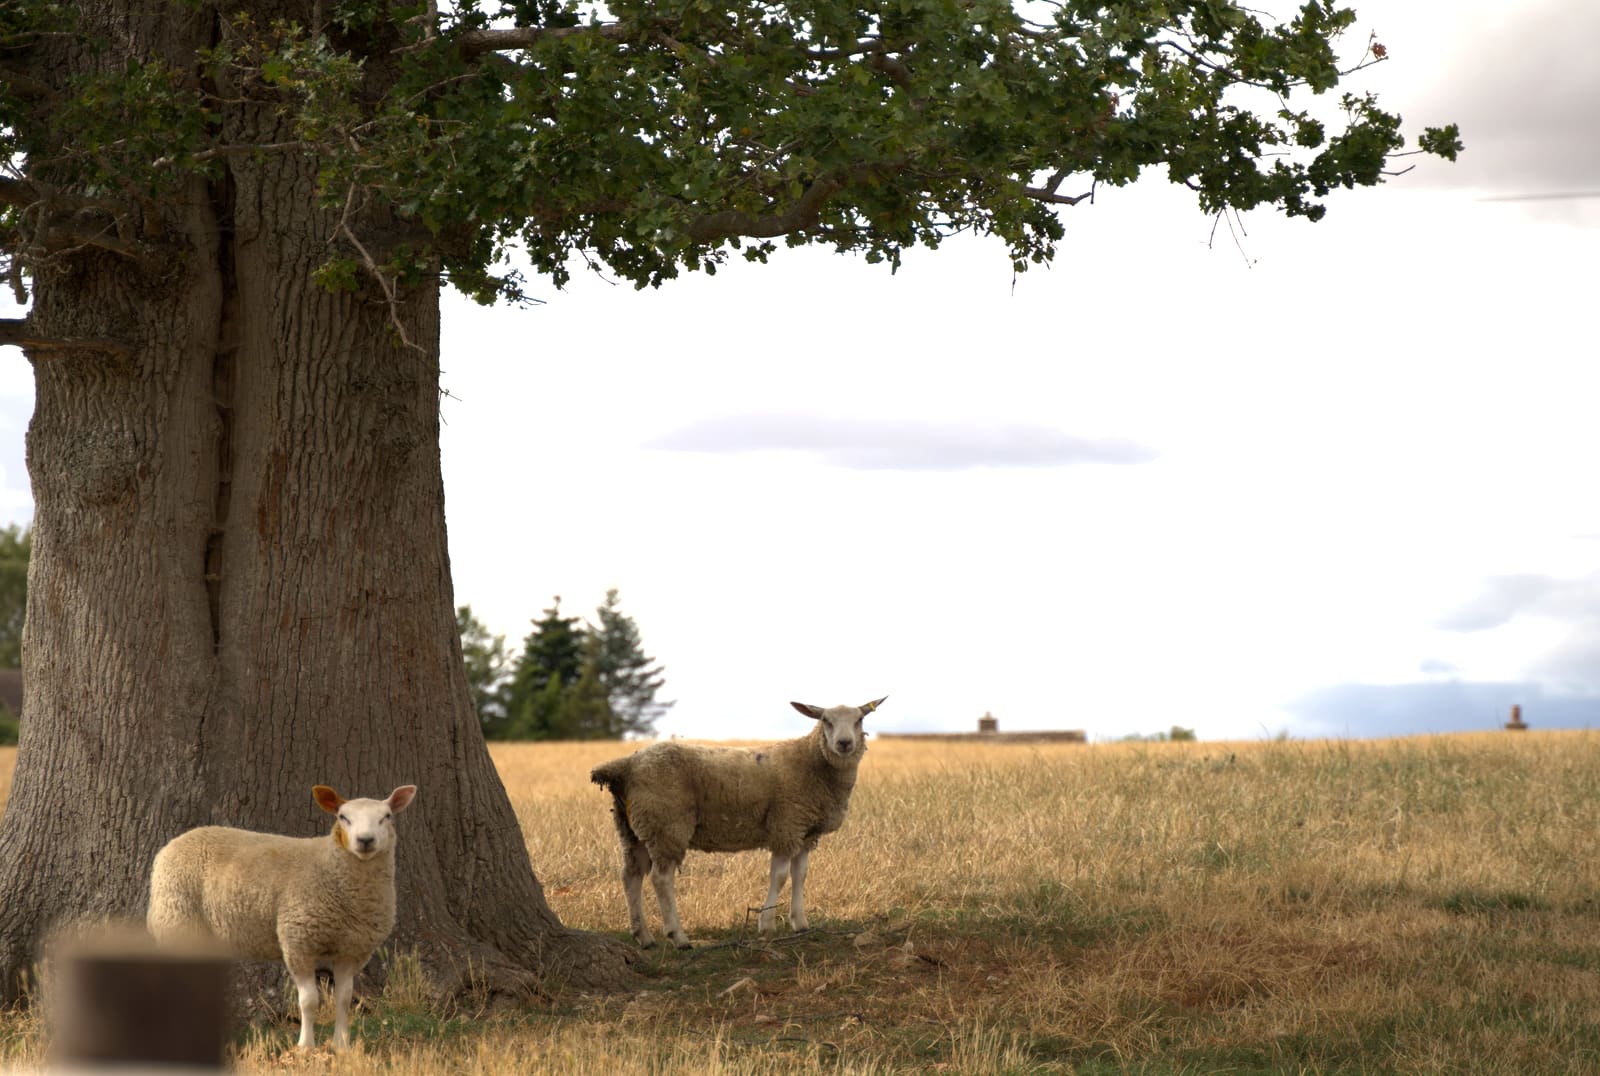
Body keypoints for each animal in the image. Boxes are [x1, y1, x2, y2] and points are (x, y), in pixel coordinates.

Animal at [146, 784, 417, 1050]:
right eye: (343, 817)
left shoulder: (351, 950)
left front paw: (341, 1047)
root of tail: (169, 847)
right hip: (177, 921)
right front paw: (305, 1047)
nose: (365, 840)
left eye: (386, 817)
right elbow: (309, 1001)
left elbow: (343, 999)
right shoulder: (298, 941)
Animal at [591, 697, 885, 949]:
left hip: (633, 828)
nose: (845, 743)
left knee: (631, 875)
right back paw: (679, 937)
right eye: (826, 720)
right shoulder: (786, 825)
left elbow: (800, 874)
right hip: (666, 826)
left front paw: (800, 923)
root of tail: (626, 766)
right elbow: (779, 876)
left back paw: (644, 936)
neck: (811, 762)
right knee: (660, 879)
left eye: (860, 719)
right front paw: (766, 924)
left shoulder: (804, 833)